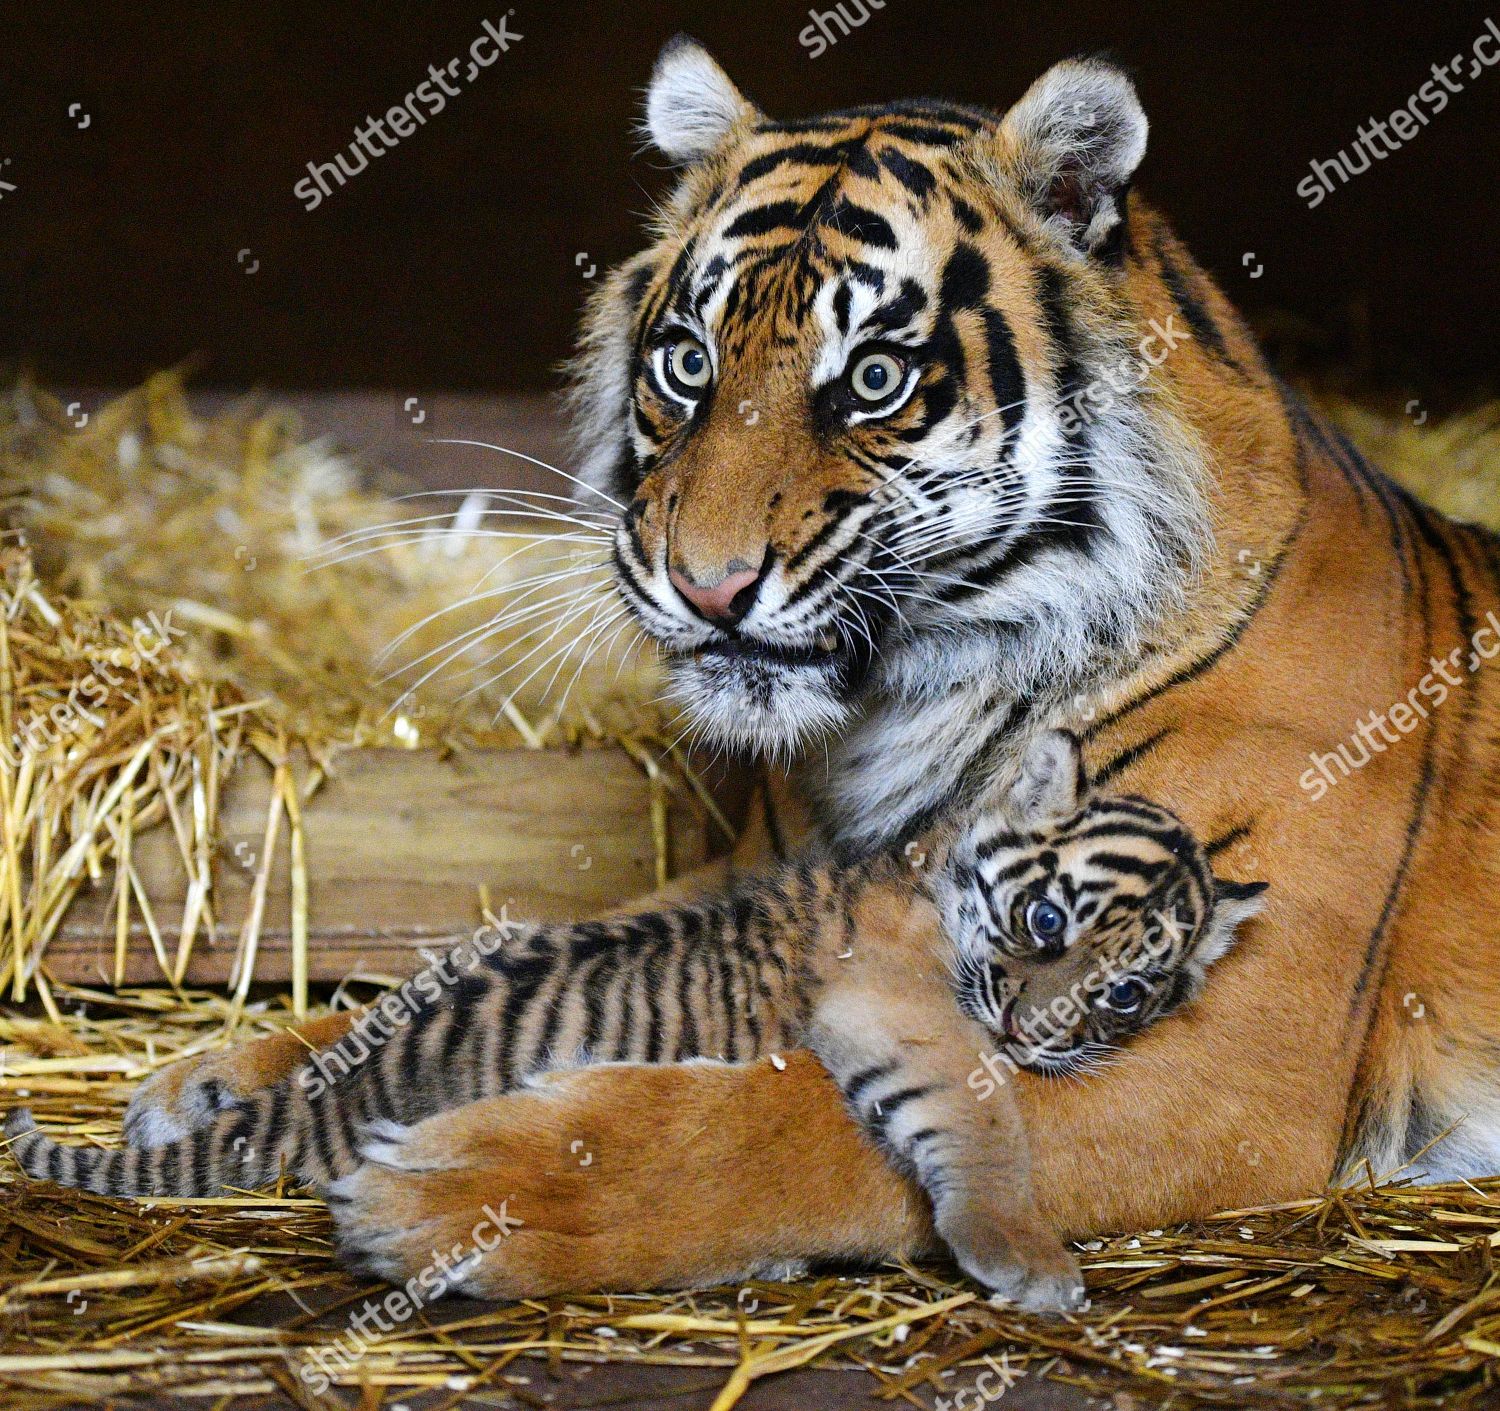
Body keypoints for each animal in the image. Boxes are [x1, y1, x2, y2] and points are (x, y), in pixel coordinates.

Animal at [108, 38, 1500, 1295]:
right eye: (687, 363)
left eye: (875, 378)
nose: (708, 584)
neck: (902, 716)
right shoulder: (751, 883)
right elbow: (494, 961)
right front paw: (231, 1073)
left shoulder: (1221, 1059)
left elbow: (797, 1113)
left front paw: (476, 1189)